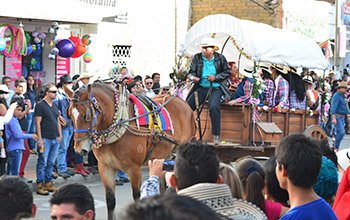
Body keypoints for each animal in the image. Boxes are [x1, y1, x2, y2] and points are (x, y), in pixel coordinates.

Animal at [67, 83, 196, 220]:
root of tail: (181, 101)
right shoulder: (105, 167)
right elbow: (110, 201)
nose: (79, 149)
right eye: (70, 115)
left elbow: (137, 197)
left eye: (86, 115)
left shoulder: (134, 168)